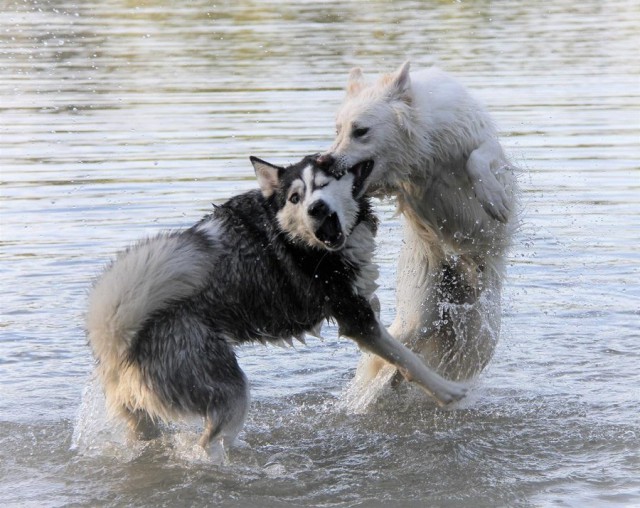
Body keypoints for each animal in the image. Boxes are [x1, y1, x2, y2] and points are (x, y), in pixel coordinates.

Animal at [318, 62, 516, 408]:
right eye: (337, 130)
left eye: (360, 131)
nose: (323, 160)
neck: (424, 153)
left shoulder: (480, 139)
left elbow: (477, 159)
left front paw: (493, 198)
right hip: (421, 310)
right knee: (396, 355)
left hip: (481, 329)